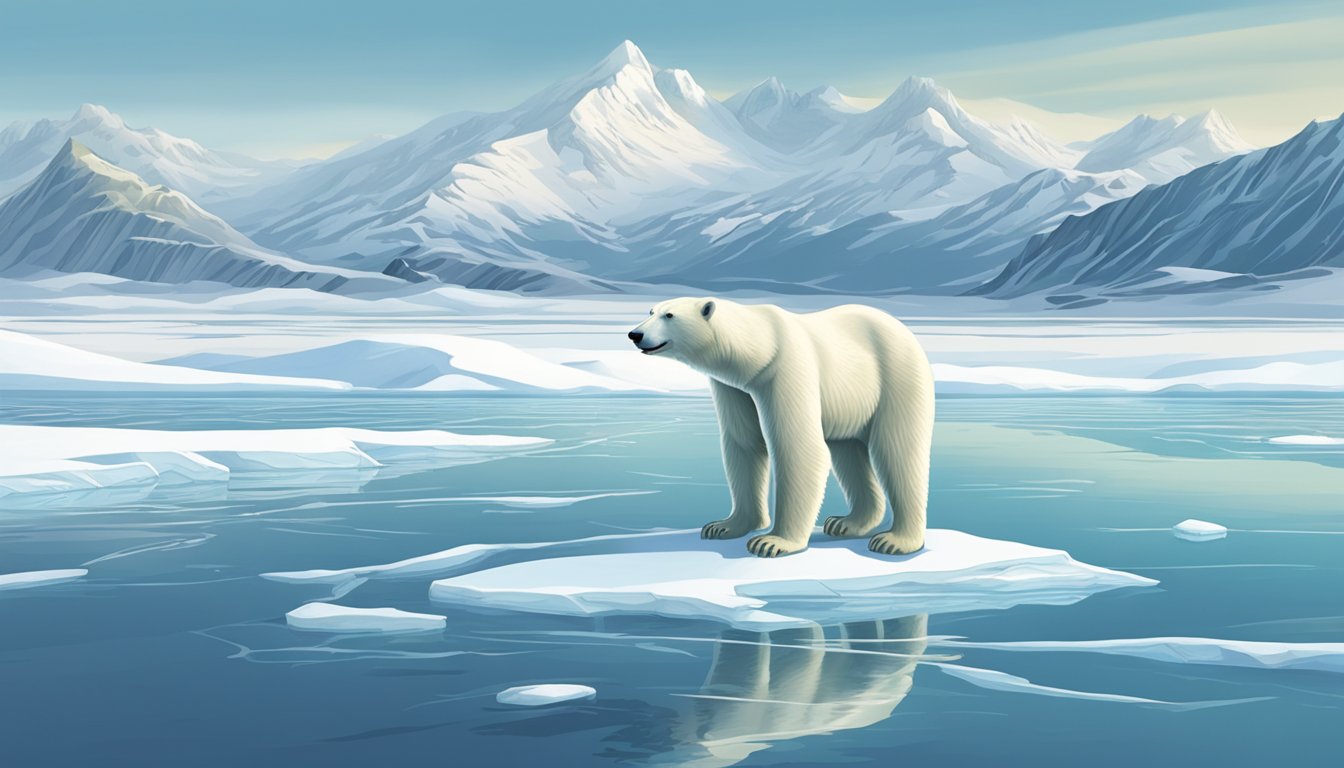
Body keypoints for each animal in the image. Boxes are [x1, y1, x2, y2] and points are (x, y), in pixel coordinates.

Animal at [623, 297, 930, 556]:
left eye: (669, 315)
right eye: (650, 311)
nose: (635, 334)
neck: (761, 346)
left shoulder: (786, 370)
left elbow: (798, 447)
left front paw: (772, 542)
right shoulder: (734, 388)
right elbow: (743, 444)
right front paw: (724, 526)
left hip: (896, 375)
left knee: (898, 451)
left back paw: (895, 541)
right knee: (848, 452)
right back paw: (847, 523)